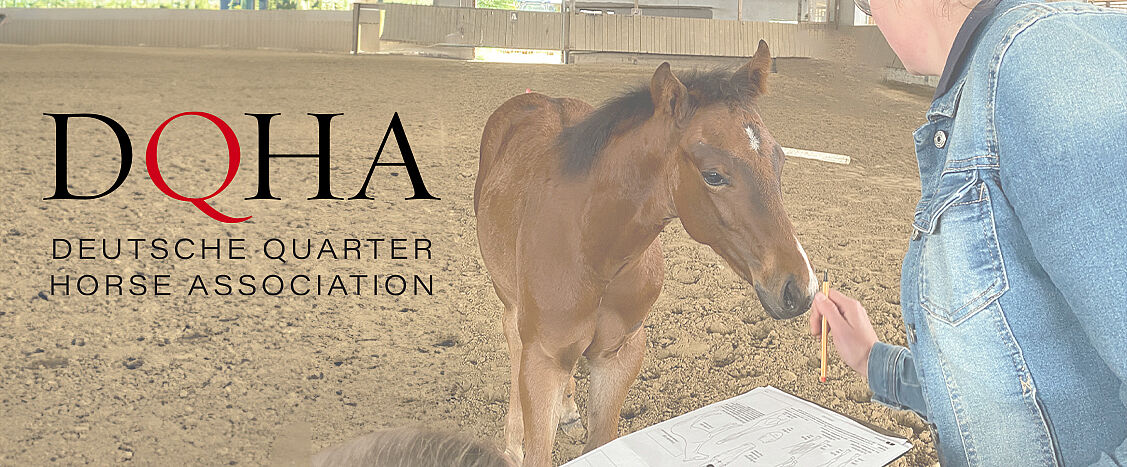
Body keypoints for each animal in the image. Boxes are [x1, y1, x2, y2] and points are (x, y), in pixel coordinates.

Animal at [473, 40, 817, 466]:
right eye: (713, 175)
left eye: (779, 159)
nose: (798, 289)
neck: (594, 249)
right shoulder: (542, 360)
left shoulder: (619, 355)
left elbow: (600, 442)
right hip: (510, 302)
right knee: (513, 341)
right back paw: (513, 439)